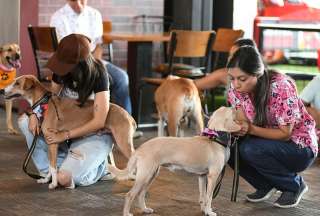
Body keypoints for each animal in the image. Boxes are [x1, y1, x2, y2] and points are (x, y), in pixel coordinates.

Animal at [4, 74, 136, 189]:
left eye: (17, 83)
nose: (3, 90)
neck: (44, 103)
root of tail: (129, 116)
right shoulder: (49, 143)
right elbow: (51, 166)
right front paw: (46, 180)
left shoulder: (53, 142)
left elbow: (53, 167)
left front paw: (53, 184)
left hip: (124, 143)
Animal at [107, 106, 240, 216]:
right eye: (230, 109)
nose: (235, 106)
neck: (215, 139)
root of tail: (140, 148)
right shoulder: (213, 177)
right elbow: (209, 197)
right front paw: (209, 211)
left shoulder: (202, 176)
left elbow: (203, 197)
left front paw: (204, 210)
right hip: (144, 176)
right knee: (130, 195)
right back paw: (127, 213)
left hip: (151, 175)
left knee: (141, 194)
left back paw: (145, 209)